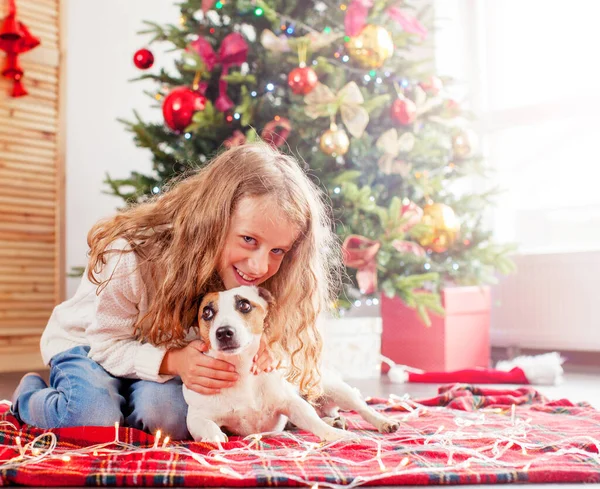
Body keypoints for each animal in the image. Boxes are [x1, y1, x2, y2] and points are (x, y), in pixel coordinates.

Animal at [183, 286, 398, 442]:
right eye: (207, 312)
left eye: (244, 305)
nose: (224, 332)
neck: (242, 369)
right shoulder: (196, 417)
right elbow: (207, 425)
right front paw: (215, 436)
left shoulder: (293, 405)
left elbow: (314, 423)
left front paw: (338, 436)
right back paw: (335, 420)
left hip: (337, 389)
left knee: (363, 409)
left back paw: (382, 423)